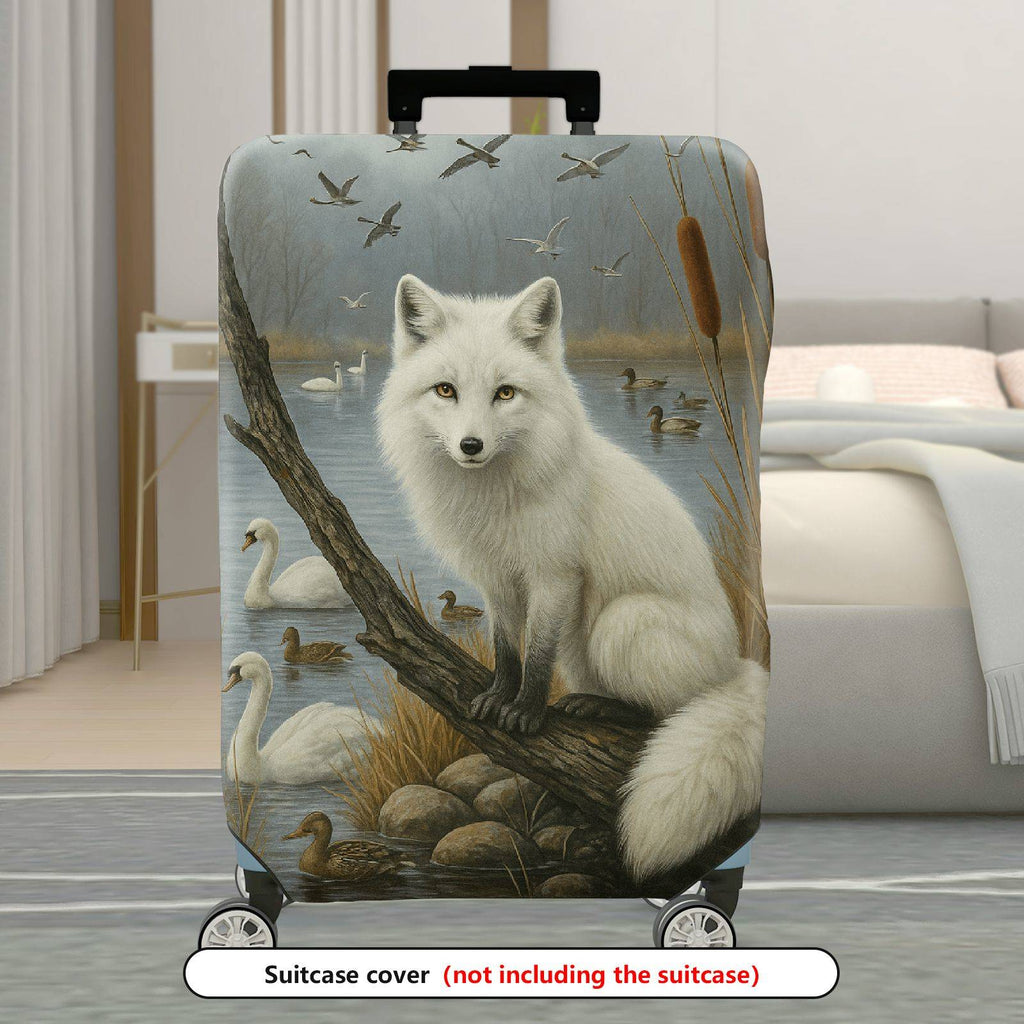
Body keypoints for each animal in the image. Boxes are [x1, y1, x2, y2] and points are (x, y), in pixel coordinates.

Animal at [375, 274, 769, 880]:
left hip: (621, 622)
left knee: (663, 712)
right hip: (582, 650)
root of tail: (734, 663)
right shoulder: (497, 580)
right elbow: (506, 646)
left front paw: (527, 712)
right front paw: (499, 695)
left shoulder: (554, 574)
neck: (493, 500)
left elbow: (536, 654)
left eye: (505, 393)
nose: (471, 446)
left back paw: (606, 710)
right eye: (445, 390)